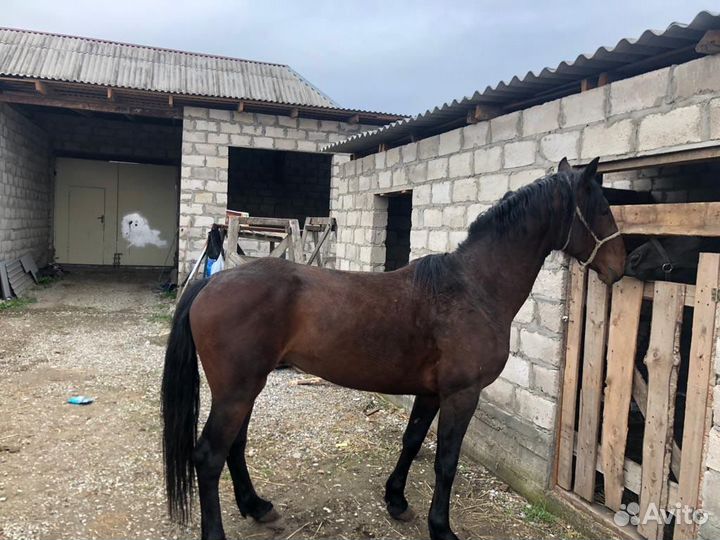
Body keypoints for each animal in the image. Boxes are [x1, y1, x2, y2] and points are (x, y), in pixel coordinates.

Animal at [161, 156, 625, 540]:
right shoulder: (462, 394)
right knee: (209, 456)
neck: (474, 288)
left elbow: (413, 440)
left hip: (245, 389)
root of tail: (212, 283)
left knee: (234, 448)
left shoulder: (432, 392)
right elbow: (446, 461)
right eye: (603, 209)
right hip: (237, 391)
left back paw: (258, 507)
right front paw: (442, 529)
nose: (622, 266)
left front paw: (397, 501)